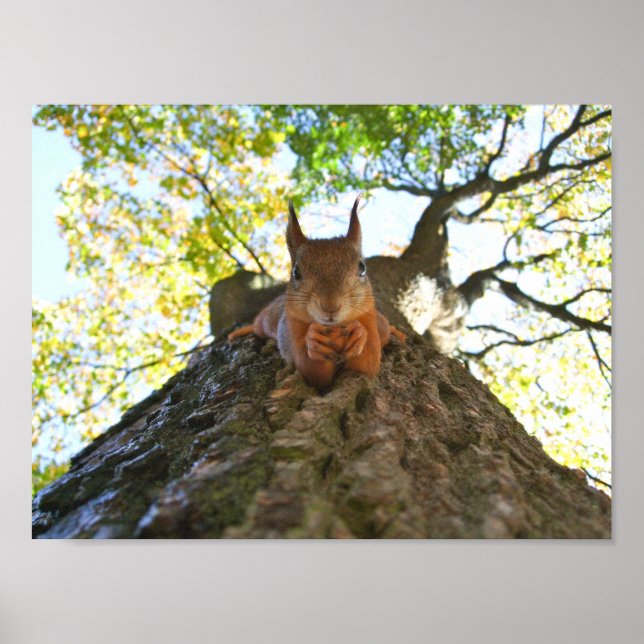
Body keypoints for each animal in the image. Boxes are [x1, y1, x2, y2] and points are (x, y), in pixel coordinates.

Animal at [228, 198, 406, 391]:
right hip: (267, 320)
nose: (330, 306)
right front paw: (313, 341)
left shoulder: (368, 319)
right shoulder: (292, 328)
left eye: (362, 268)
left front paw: (359, 334)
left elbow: (368, 363)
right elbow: (312, 372)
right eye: (296, 272)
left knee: (386, 328)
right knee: (257, 325)